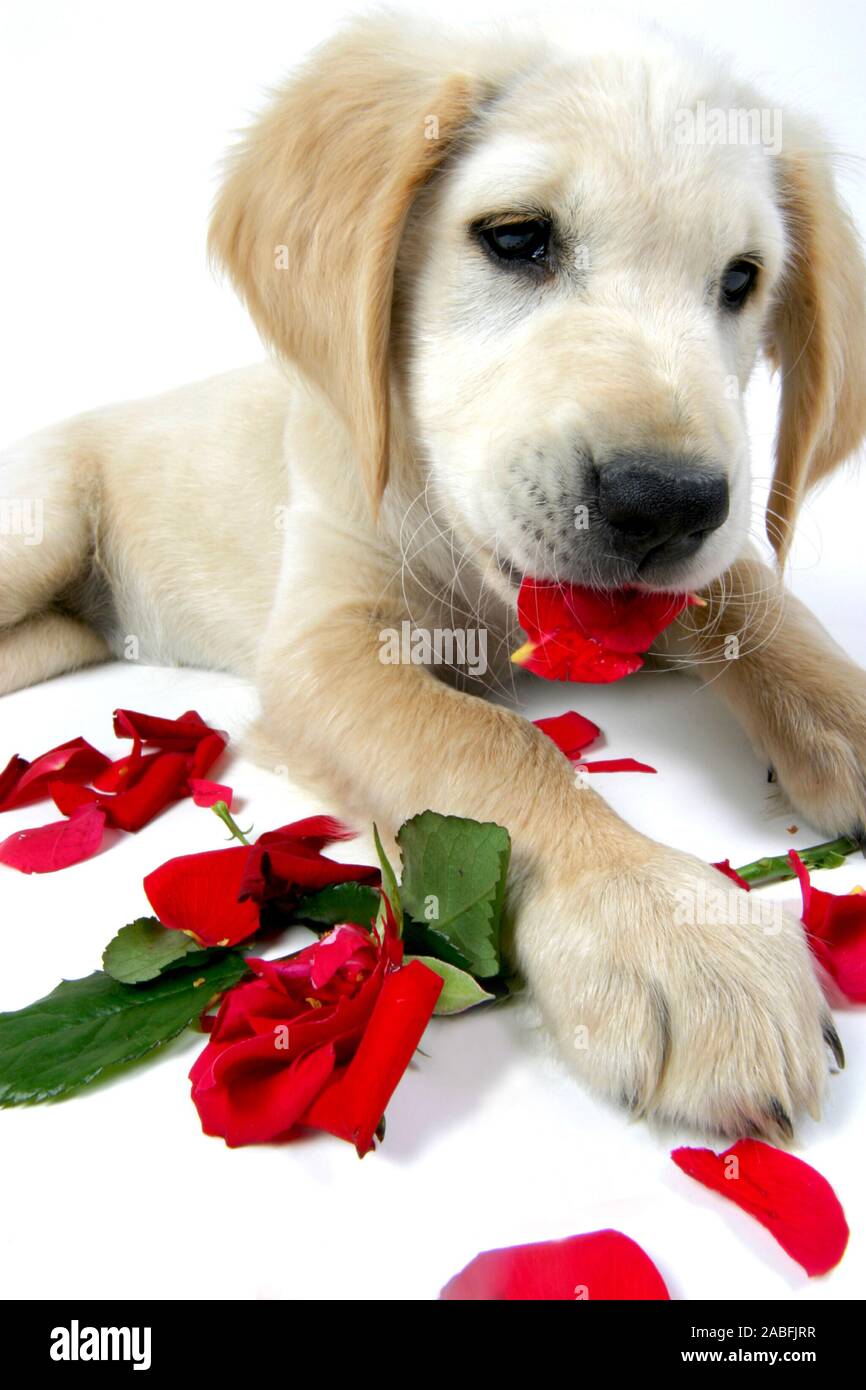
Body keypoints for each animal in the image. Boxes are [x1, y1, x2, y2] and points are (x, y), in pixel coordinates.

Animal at [3, 10, 861, 1139]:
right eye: (516, 238)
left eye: (739, 281)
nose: (665, 503)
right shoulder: (324, 646)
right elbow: (487, 745)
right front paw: (659, 920)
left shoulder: (687, 568)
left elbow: (753, 598)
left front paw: (839, 715)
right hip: (44, 524)